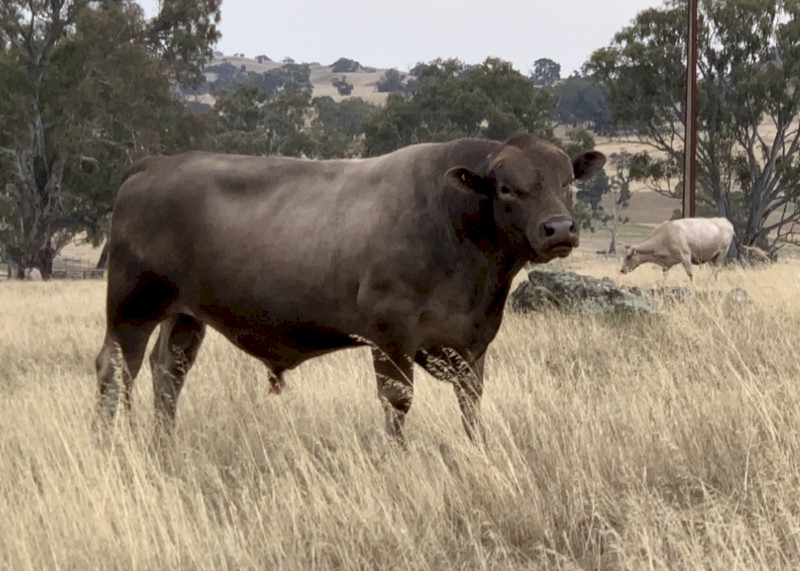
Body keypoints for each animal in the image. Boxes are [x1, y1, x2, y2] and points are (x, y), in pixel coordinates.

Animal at [95, 134, 606, 446]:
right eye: (506, 189)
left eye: (568, 182)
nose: (559, 229)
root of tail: (155, 164)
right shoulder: (391, 338)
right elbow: (397, 403)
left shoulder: (472, 345)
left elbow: (471, 404)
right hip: (132, 308)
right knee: (116, 370)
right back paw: (111, 446)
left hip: (184, 316)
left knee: (169, 373)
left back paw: (164, 446)